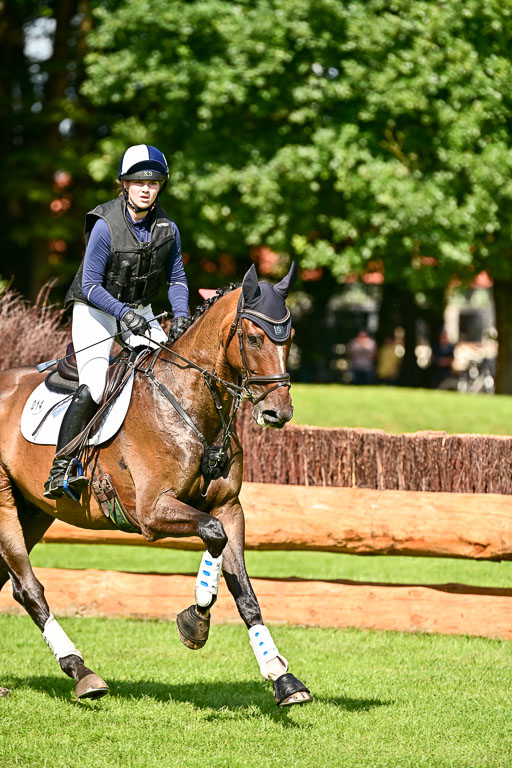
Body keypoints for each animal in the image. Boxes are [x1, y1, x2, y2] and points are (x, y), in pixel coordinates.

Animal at [0, 263, 312, 707]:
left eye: (290, 338)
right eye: (254, 338)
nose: (277, 413)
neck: (191, 404)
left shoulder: (229, 507)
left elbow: (244, 591)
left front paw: (281, 677)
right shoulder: (152, 512)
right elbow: (213, 538)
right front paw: (195, 621)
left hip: (34, 511)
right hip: (7, 507)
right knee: (28, 589)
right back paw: (82, 672)